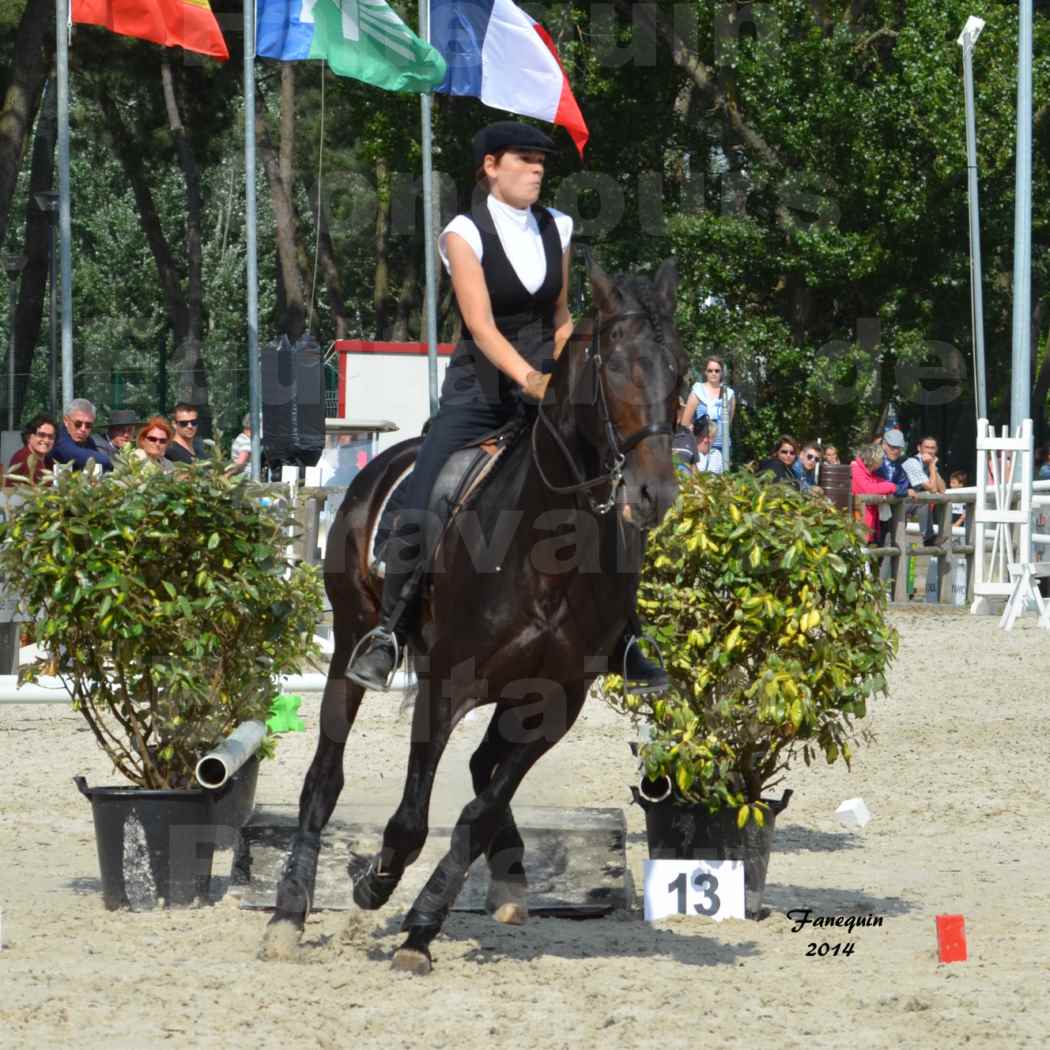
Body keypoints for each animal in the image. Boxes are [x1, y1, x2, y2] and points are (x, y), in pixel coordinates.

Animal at [262, 258, 688, 970]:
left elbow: (481, 808)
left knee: (483, 770)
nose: (653, 494)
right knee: (325, 774)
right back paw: (289, 914)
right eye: (617, 369)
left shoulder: (556, 700)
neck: (549, 543)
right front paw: (375, 885)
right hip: (349, 644)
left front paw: (424, 921)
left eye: (680, 373)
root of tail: (378, 463)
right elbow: (411, 819)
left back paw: (509, 879)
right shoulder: (446, 685)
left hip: (513, 691)